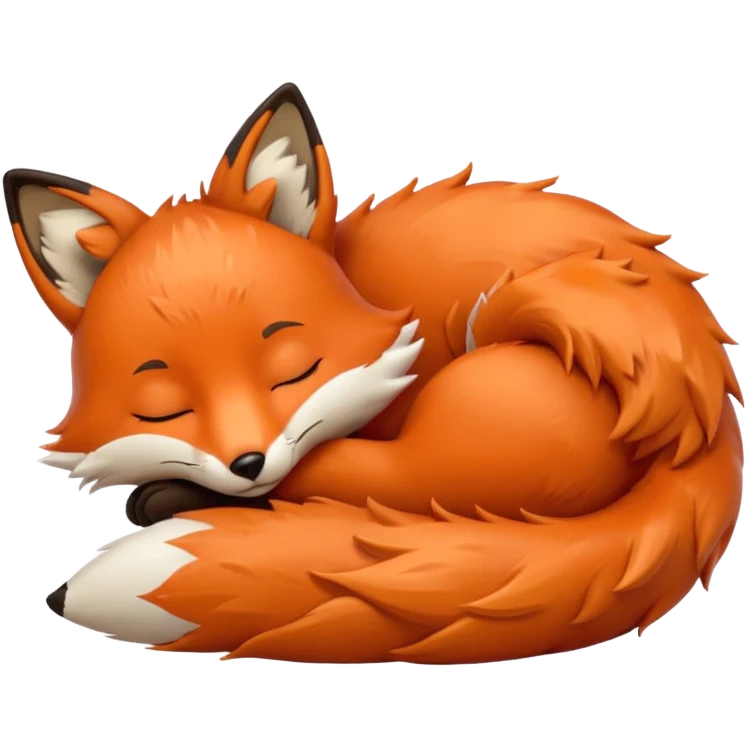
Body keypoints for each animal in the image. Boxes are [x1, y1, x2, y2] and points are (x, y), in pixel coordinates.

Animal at [12, 81, 743, 664]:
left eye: (292, 371)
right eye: (163, 405)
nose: (248, 463)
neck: (383, 301)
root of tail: (705, 418)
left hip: (467, 426)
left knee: (379, 482)